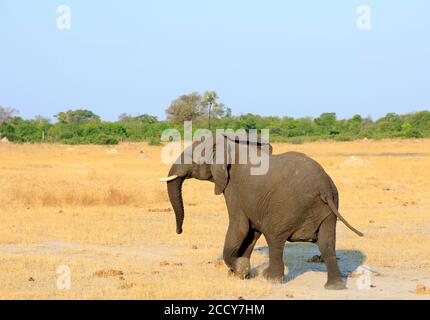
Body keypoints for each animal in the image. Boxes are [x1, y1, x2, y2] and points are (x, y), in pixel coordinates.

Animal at [159, 134, 362, 288]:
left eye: (192, 158)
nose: (179, 231)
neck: (230, 143)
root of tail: (324, 189)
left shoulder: (233, 188)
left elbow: (240, 227)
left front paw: (241, 269)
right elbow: (251, 232)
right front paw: (239, 274)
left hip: (286, 207)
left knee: (275, 238)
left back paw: (271, 279)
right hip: (329, 209)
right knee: (327, 243)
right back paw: (335, 286)